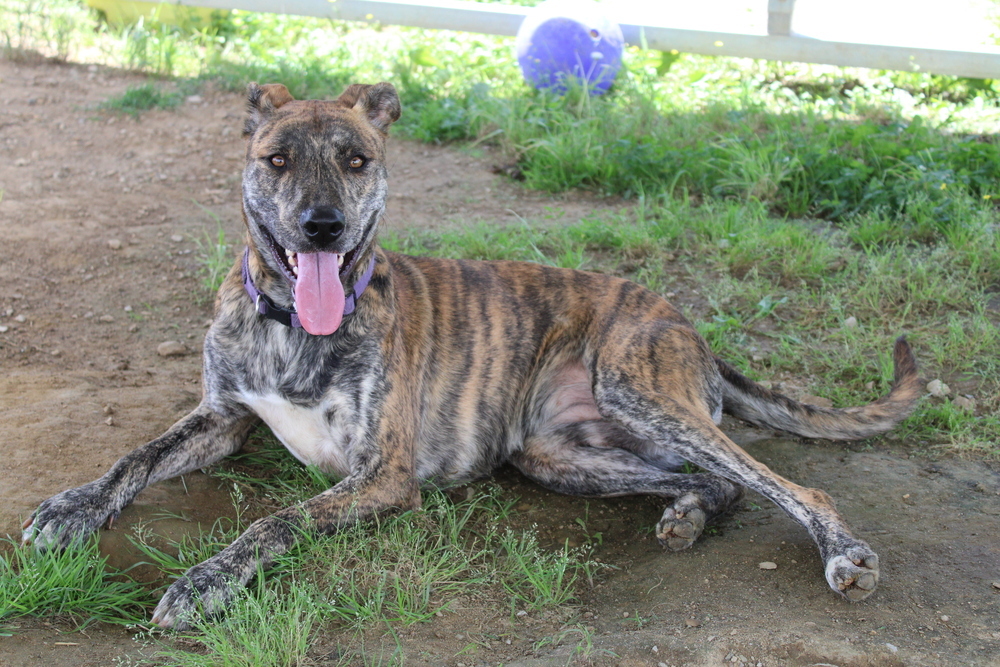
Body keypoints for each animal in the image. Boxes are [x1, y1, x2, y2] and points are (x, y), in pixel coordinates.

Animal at [19, 81, 920, 628]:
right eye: (276, 159)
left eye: (357, 159)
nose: (323, 227)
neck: (290, 325)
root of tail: (686, 323)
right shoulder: (221, 416)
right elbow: (135, 456)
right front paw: (72, 506)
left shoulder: (382, 474)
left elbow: (274, 520)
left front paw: (203, 580)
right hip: (557, 453)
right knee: (714, 481)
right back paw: (688, 513)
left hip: (637, 385)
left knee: (783, 481)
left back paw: (843, 553)